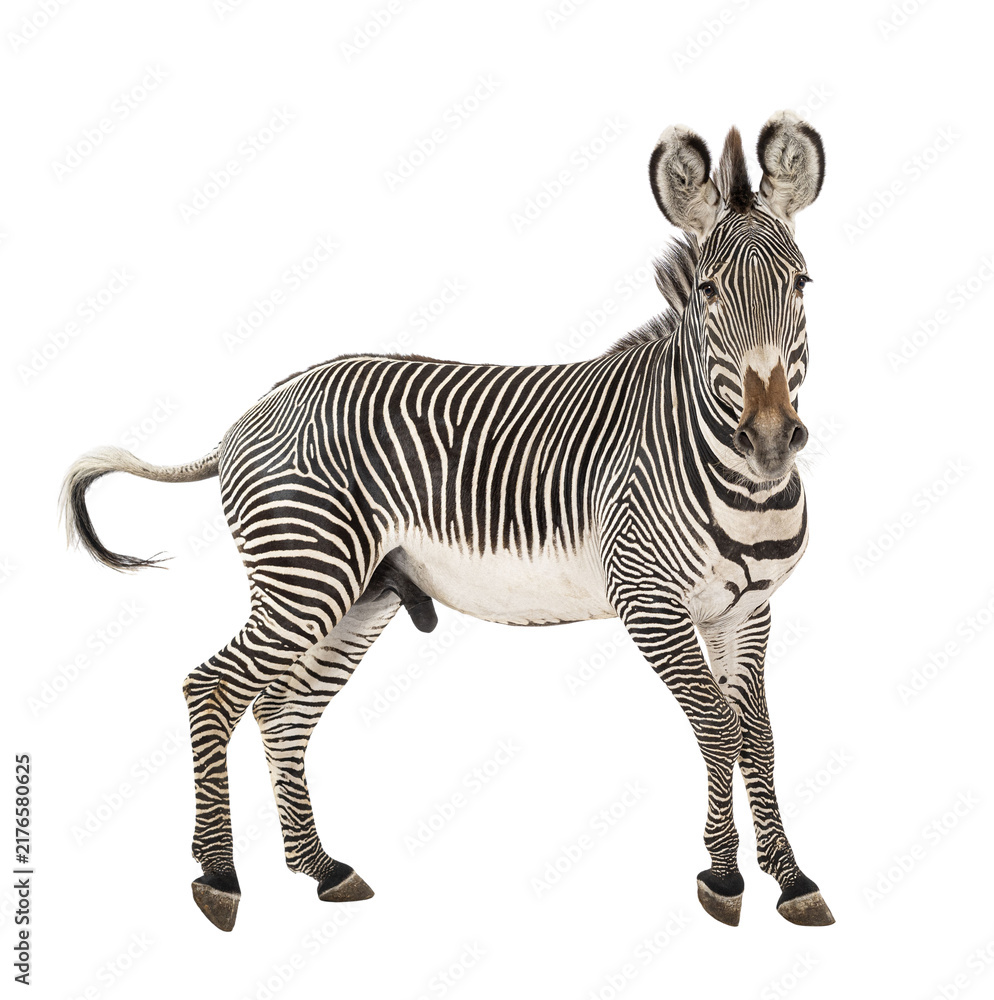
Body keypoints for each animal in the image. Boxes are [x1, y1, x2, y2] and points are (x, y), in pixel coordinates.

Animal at [61, 109, 833, 931]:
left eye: (801, 283)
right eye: (711, 291)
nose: (772, 438)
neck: (736, 477)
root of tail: (259, 406)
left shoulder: (745, 612)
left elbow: (759, 736)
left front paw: (791, 878)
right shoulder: (649, 600)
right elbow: (718, 730)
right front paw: (722, 876)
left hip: (358, 595)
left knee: (282, 711)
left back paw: (321, 867)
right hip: (307, 577)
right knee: (212, 687)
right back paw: (218, 875)